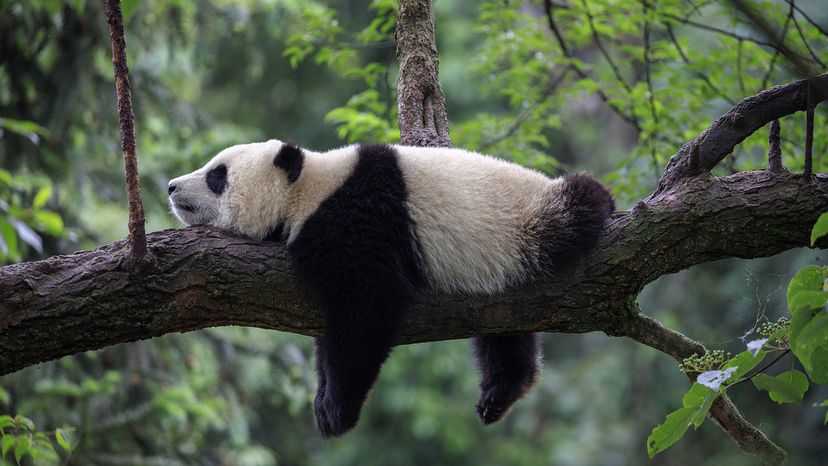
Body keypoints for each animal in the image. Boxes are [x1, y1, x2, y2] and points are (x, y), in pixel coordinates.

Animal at [168, 139, 614, 438]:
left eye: (217, 176)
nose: (171, 187)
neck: (310, 188)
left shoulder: (358, 220)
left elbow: (368, 306)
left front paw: (336, 410)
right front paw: (323, 398)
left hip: (528, 224)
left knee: (578, 206)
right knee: (503, 330)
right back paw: (501, 392)